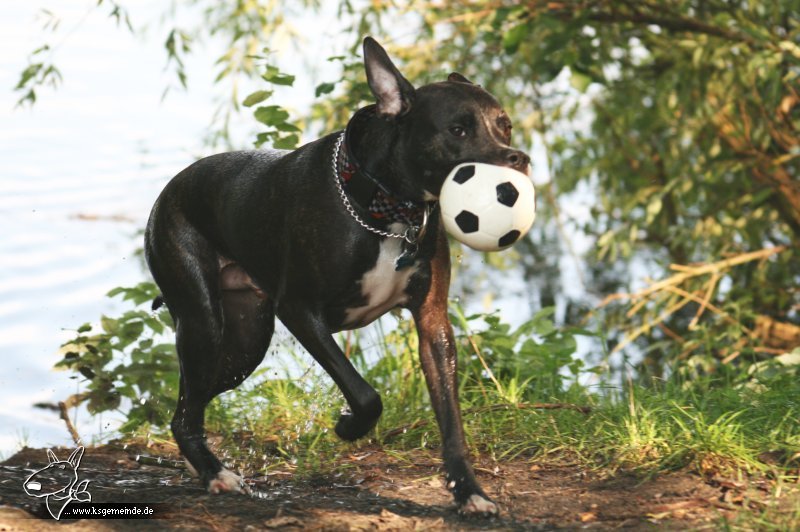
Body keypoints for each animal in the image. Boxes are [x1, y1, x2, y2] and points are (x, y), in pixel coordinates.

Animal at [145, 37, 532, 516]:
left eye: (505, 126)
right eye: (458, 130)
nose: (518, 160)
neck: (389, 208)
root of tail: (169, 191)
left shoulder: (433, 325)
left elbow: (451, 420)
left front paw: (470, 492)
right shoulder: (300, 311)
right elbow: (364, 393)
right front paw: (349, 426)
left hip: (244, 342)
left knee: (188, 405)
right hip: (204, 322)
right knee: (187, 410)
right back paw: (216, 473)